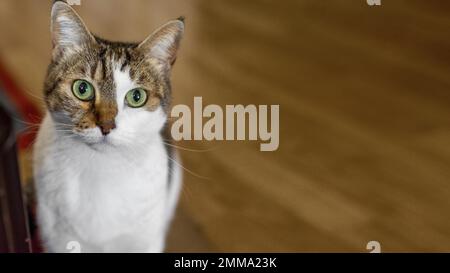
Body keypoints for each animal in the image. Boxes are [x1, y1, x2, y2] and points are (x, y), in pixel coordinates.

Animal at [33, 0, 185, 252]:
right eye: (82, 89)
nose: (106, 125)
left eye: (136, 97)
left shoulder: (145, 239)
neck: (101, 167)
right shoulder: (58, 236)